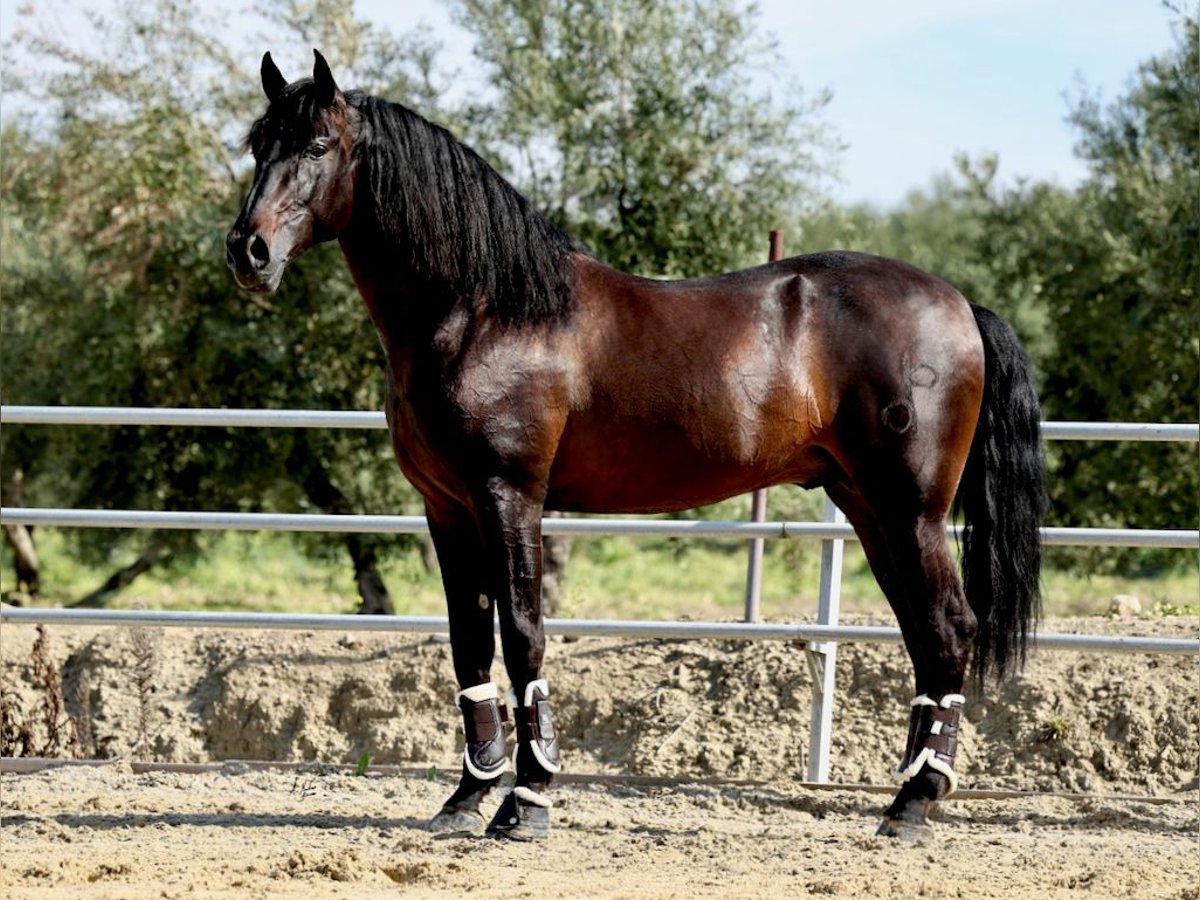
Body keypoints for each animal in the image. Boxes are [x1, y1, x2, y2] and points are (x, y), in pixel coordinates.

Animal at [229, 52, 1046, 844]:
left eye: (317, 145)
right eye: (257, 144)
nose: (248, 251)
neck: (483, 311)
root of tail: (959, 304)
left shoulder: (509, 496)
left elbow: (522, 636)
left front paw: (526, 802)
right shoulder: (447, 509)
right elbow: (468, 645)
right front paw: (465, 797)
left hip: (911, 511)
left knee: (948, 628)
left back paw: (913, 807)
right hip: (869, 508)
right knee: (924, 633)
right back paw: (906, 796)